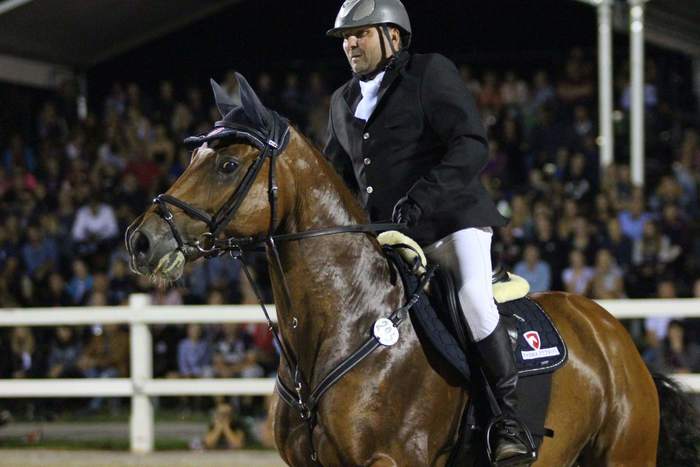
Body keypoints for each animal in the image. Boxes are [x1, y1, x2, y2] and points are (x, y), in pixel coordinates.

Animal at [126, 73, 699, 466]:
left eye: (227, 165)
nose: (141, 240)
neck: (346, 320)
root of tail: (616, 338)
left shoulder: (391, 459)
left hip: (624, 455)